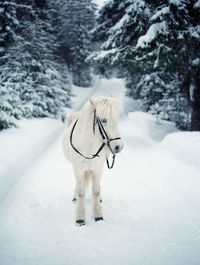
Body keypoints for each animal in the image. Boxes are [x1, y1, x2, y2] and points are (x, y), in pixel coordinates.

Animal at [63, 95, 124, 225]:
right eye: (104, 120)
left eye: (116, 120)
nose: (118, 146)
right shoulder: (78, 169)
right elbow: (81, 192)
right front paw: (80, 218)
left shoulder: (97, 168)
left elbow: (95, 191)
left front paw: (98, 215)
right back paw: (75, 198)